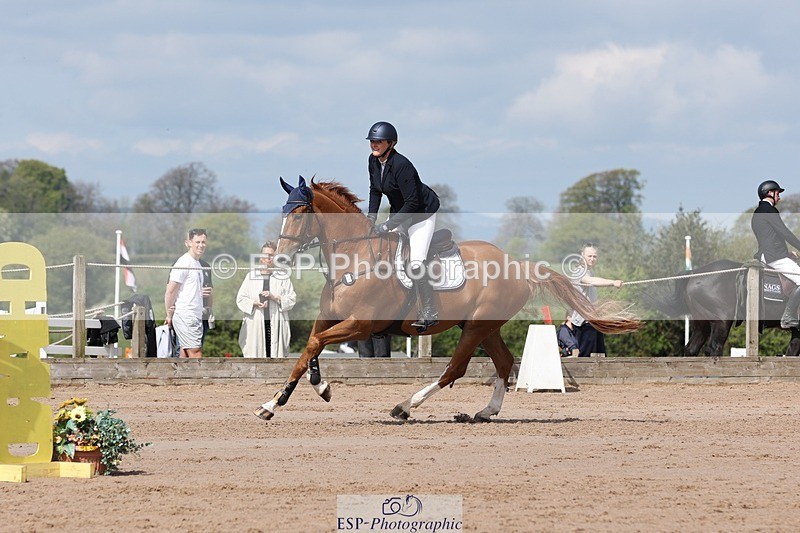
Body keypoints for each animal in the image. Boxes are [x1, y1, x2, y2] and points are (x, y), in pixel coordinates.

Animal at [253, 176, 641, 422]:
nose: (280, 258)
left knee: (455, 368)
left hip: (475, 327)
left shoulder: (361, 325)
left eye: (300, 213)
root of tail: (517, 264)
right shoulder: (330, 318)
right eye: (284, 211)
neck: (355, 258)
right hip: (483, 326)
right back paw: (485, 412)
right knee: (503, 362)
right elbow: (309, 349)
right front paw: (287, 398)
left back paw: (405, 407)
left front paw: (297, 394)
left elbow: (314, 344)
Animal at [653, 259, 800, 356]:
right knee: (714, 348)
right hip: (722, 321)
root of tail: (695, 273)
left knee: (692, 349)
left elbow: (791, 352)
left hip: (702, 323)